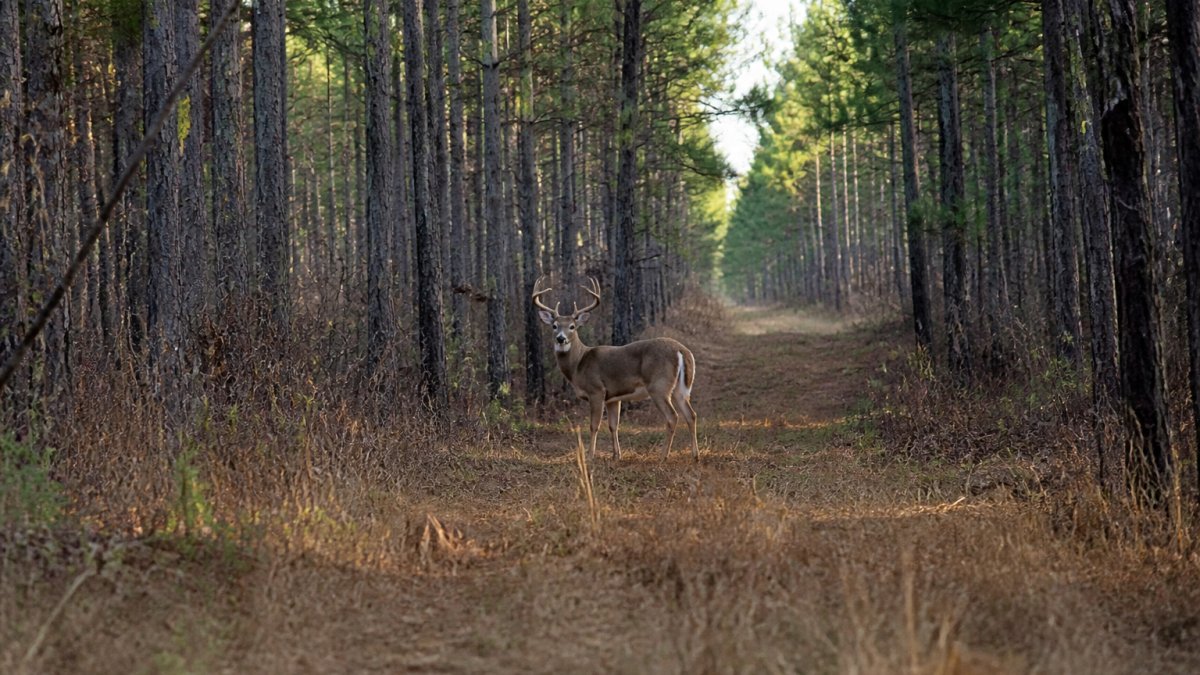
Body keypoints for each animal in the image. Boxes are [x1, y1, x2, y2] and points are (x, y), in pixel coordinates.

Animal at [533, 277, 699, 461]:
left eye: (572, 326)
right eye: (554, 326)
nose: (561, 339)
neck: (578, 364)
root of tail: (682, 351)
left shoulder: (596, 390)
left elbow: (594, 425)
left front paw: (590, 456)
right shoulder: (613, 398)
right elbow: (613, 425)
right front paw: (616, 455)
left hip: (659, 386)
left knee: (672, 417)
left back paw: (663, 456)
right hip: (680, 388)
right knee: (691, 415)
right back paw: (695, 455)